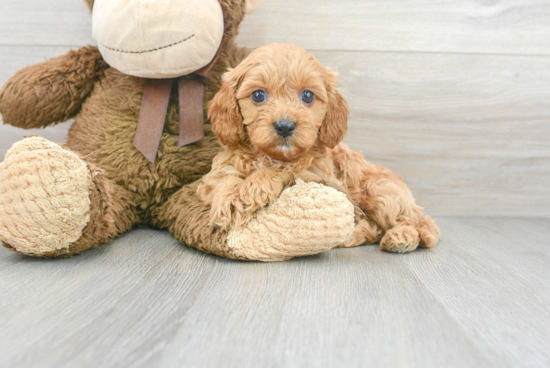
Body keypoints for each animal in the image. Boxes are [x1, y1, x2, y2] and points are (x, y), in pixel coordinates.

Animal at [201, 41, 442, 252]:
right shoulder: (217, 173)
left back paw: (402, 237)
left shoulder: (323, 181)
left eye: (307, 96)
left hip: (380, 191)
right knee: (377, 228)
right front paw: (229, 200)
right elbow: (224, 179)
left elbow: (286, 171)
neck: (273, 156)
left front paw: (255, 187)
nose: (285, 126)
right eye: (258, 95)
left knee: (417, 222)